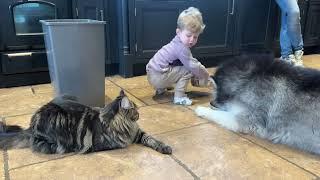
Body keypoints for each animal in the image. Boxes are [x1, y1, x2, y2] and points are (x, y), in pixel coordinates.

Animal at [0, 90, 172, 155]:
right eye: (135, 109)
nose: (139, 113)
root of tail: (31, 125)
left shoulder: (139, 134)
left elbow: (152, 140)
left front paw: (164, 147)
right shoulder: (103, 145)